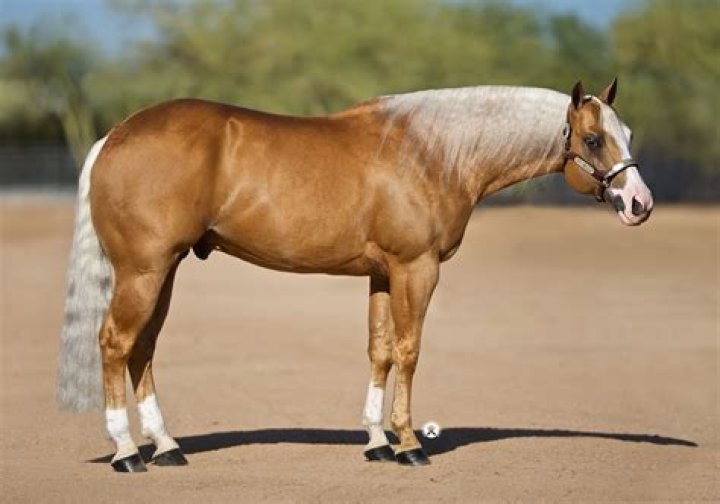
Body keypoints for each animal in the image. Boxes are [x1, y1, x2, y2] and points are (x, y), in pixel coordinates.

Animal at [57, 79, 653, 472]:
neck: (433, 152)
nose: (639, 204)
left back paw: (167, 448)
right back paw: (127, 453)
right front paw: (409, 444)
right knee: (115, 343)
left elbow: (380, 350)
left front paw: (376, 441)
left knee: (143, 348)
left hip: (164, 270)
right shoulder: (417, 268)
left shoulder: (383, 274)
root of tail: (114, 136)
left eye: (626, 132)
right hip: (143, 270)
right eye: (594, 140)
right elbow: (409, 350)